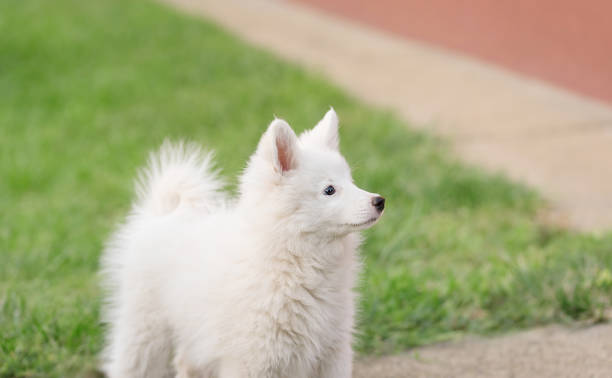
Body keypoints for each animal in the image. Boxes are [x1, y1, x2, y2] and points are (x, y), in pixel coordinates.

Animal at [102, 109, 384, 378]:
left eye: (352, 182)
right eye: (329, 190)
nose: (379, 201)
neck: (295, 259)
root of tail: (165, 213)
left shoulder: (332, 352)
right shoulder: (252, 360)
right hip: (145, 327)